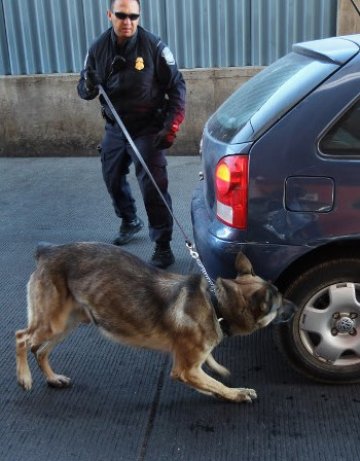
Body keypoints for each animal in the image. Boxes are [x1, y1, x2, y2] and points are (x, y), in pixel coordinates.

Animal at [15, 243, 294, 400]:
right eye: (279, 305)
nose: (296, 308)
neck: (215, 305)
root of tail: (47, 251)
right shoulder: (185, 369)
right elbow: (217, 383)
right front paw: (236, 394)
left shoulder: (192, 368)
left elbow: (210, 379)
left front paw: (211, 387)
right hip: (53, 323)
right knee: (22, 338)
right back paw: (24, 377)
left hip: (68, 324)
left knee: (40, 350)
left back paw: (53, 379)